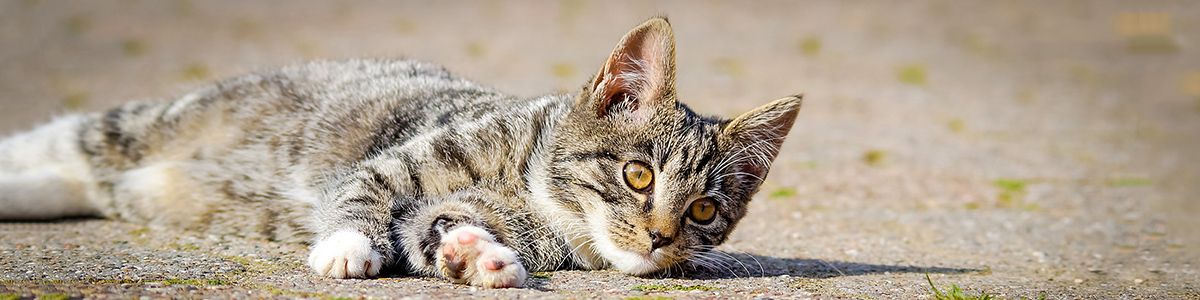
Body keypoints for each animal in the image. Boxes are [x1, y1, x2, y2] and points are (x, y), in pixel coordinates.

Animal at [2, 17, 806, 286]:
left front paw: (476, 257)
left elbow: (432, 230)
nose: (662, 237)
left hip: (114, 176)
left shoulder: (453, 211)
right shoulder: (404, 157)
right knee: (60, 141)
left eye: (703, 211)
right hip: (143, 124)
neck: (538, 192)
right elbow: (365, 190)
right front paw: (347, 245)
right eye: (638, 174)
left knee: (77, 180)